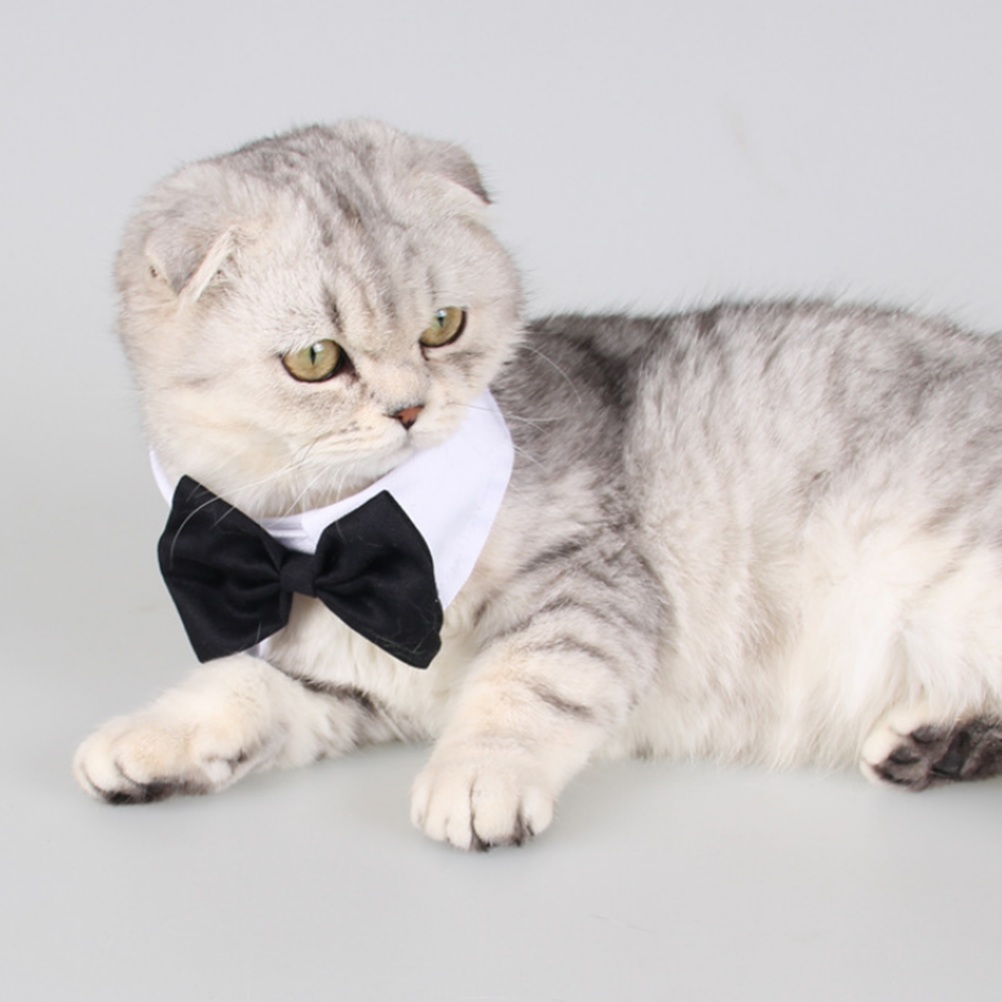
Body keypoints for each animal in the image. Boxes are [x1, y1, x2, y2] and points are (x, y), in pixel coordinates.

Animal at [74, 120, 1002, 850]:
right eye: (315, 359)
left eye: (443, 326)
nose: (410, 409)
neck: (337, 541)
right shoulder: (341, 682)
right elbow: (239, 684)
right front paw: (148, 739)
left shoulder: (588, 579)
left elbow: (524, 682)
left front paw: (477, 777)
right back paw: (936, 744)